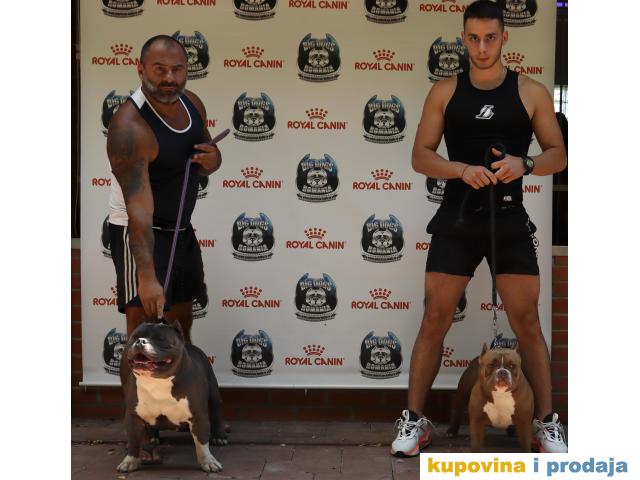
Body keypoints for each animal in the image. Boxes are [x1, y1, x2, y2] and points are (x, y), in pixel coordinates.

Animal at [117, 320, 227, 473]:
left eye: (161, 339)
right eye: (134, 337)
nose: (140, 341)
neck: (158, 381)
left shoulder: (198, 416)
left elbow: (202, 442)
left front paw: (208, 461)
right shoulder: (133, 417)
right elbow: (133, 442)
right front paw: (130, 461)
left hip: (214, 394)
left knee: (216, 415)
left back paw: (219, 436)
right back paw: (153, 437)